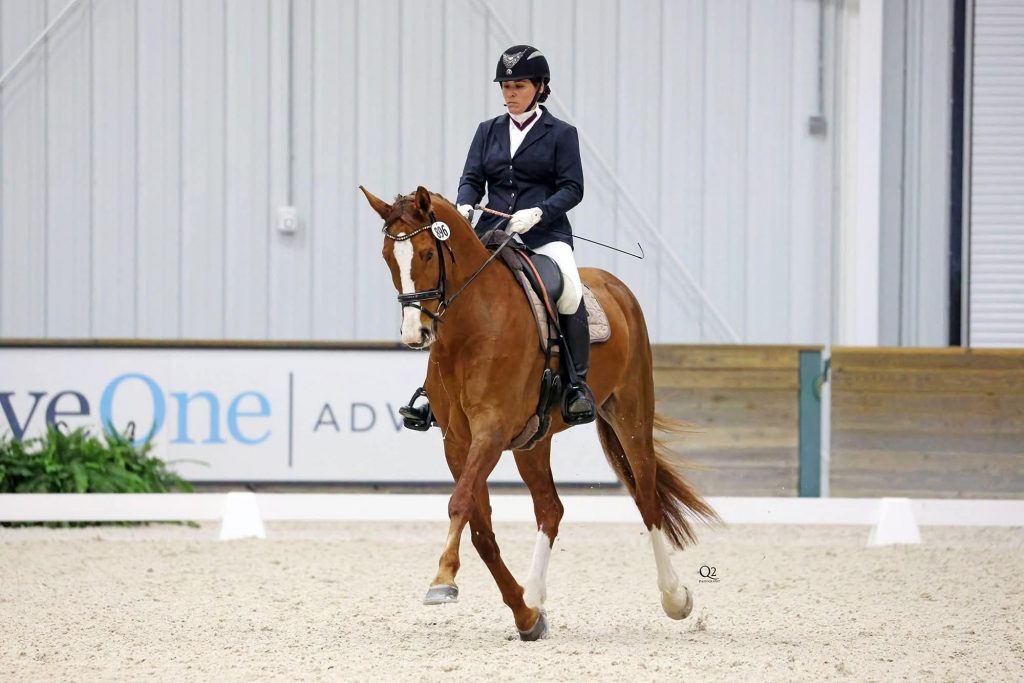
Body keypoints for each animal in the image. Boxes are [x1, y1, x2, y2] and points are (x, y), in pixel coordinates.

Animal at [360, 185, 719, 640]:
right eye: (388, 255)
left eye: (425, 253)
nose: (414, 334)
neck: (470, 327)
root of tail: (615, 285)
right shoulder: (456, 440)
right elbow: (480, 528)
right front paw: (526, 615)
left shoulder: (491, 431)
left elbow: (459, 504)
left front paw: (442, 580)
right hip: (534, 440)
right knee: (551, 509)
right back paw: (534, 596)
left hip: (631, 414)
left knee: (647, 499)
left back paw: (675, 598)